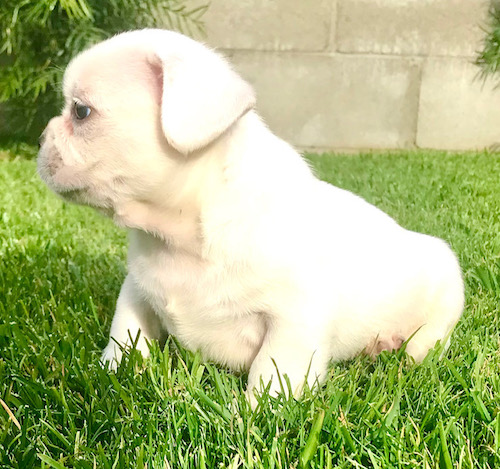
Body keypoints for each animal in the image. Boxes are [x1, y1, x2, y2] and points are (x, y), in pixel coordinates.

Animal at [38, 29, 464, 406]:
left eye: (81, 111)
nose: (41, 139)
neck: (177, 234)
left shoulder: (295, 318)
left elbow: (273, 369)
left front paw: (255, 413)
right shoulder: (137, 287)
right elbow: (127, 330)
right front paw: (113, 371)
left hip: (446, 291)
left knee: (427, 341)